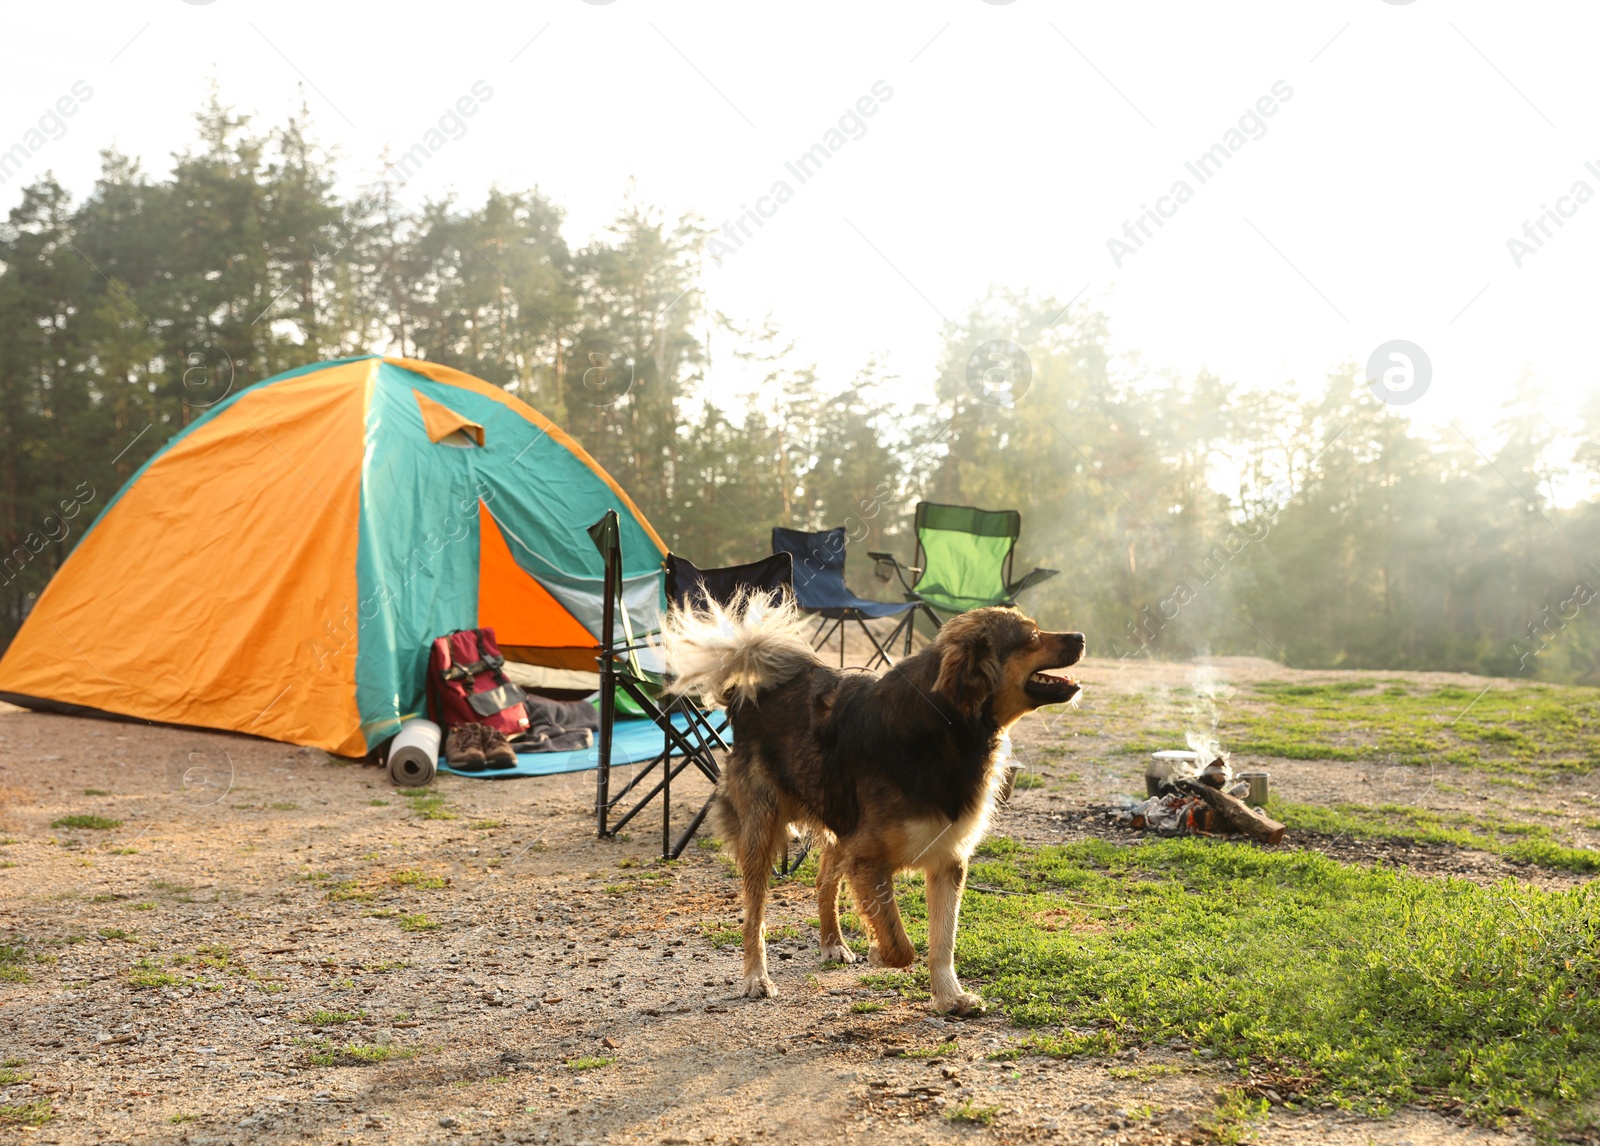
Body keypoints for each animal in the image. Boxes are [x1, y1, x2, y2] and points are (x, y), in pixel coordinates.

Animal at [662, 595, 1088, 1017]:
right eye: (1031, 636)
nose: (1082, 637)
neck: (947, 726)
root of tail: (748, 695)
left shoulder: (945, 859)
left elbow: (943, 940)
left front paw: (949, 995)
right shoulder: (868, 859)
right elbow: (900, 943)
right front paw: (879, 952)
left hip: (840, 819)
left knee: (823, 881)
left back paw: (832, 942)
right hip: (763, 829)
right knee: (755, 915)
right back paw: (756, 977)